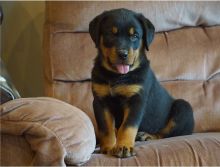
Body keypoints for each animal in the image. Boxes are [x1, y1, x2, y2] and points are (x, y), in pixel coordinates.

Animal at [88, 8, 193, 158]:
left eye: (135, 36)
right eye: (110, 34)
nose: (123, 54)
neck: (117, 76)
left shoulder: (136, 100)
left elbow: (128, 126)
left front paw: (124, 147)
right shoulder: (100, 101)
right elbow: (106, 127)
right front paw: (108, 147)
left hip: (183, 108)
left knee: (164, 133)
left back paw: (147, 136)